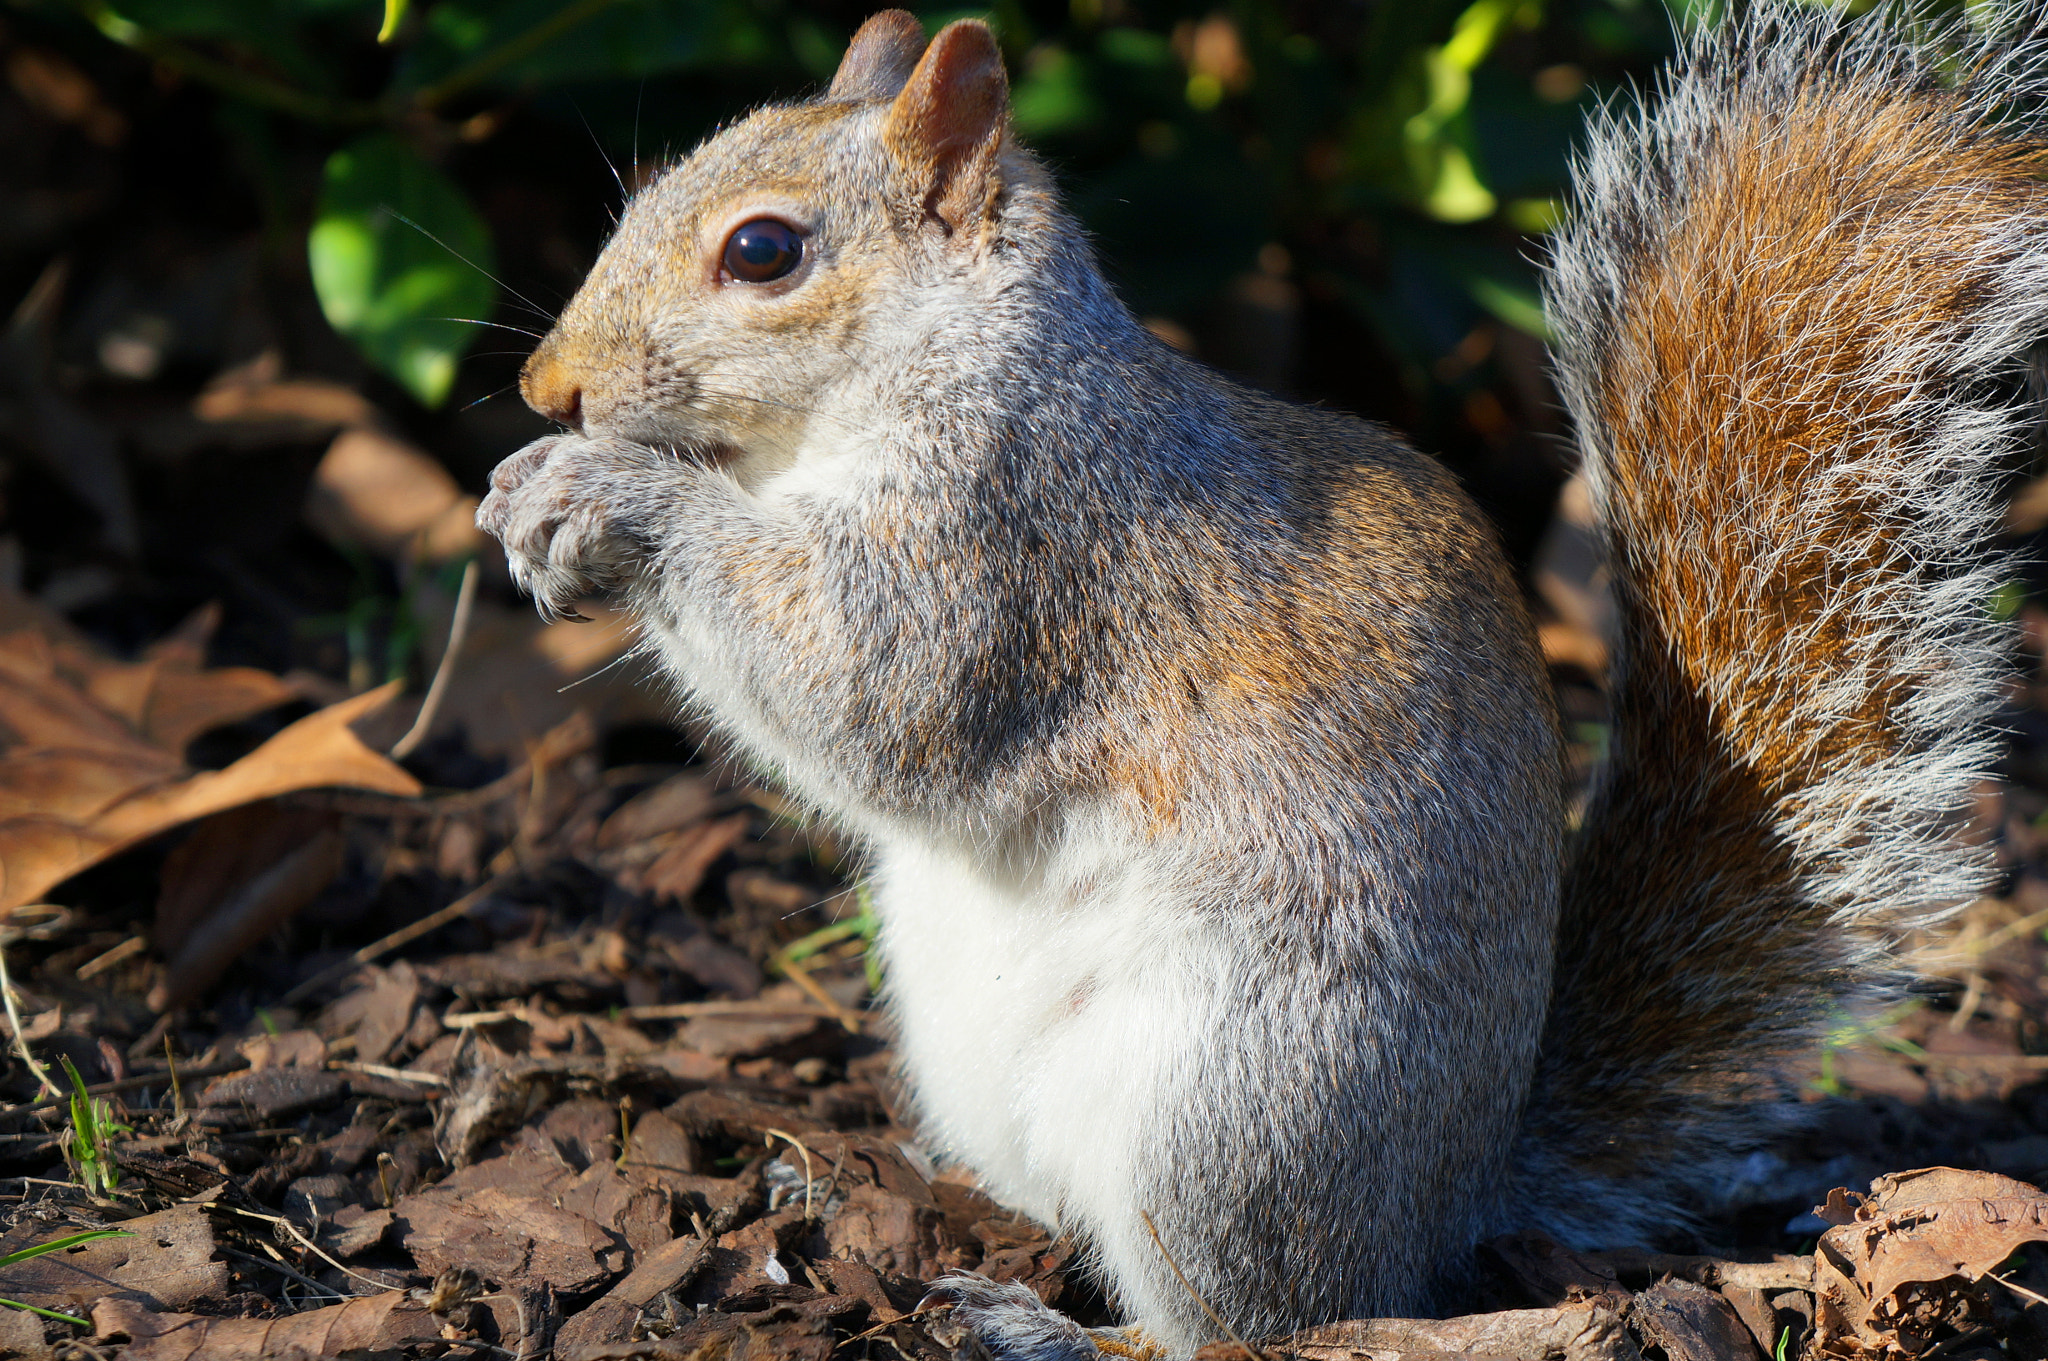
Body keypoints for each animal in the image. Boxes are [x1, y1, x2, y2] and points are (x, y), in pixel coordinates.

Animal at [476, 1, 2048, 1353]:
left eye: (763, 250)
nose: (551, 387)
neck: (944, 364)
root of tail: (1447, 1200)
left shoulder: (1016, 537)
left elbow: (871, 684)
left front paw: (602, 495)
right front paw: (523, 488)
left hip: (1232, 1107)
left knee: (1253, 1326)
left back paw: (1054, 1332)